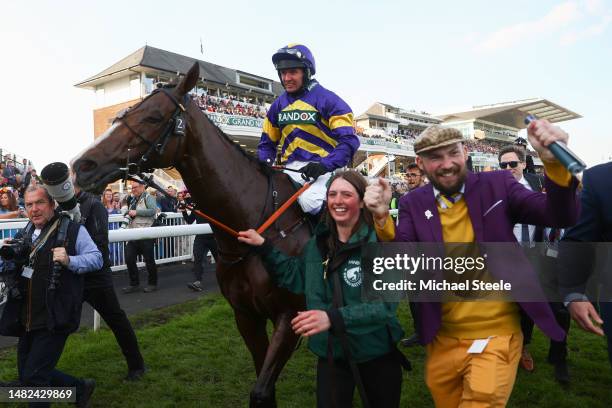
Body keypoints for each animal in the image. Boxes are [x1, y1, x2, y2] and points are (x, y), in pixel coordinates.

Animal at [72, 62, 310, 406]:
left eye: (153, 116)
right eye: (125, 111)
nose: (82, 165)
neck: (259, 229)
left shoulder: (291, 315)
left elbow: (261, 390)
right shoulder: (246, 315)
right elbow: (264, 386)